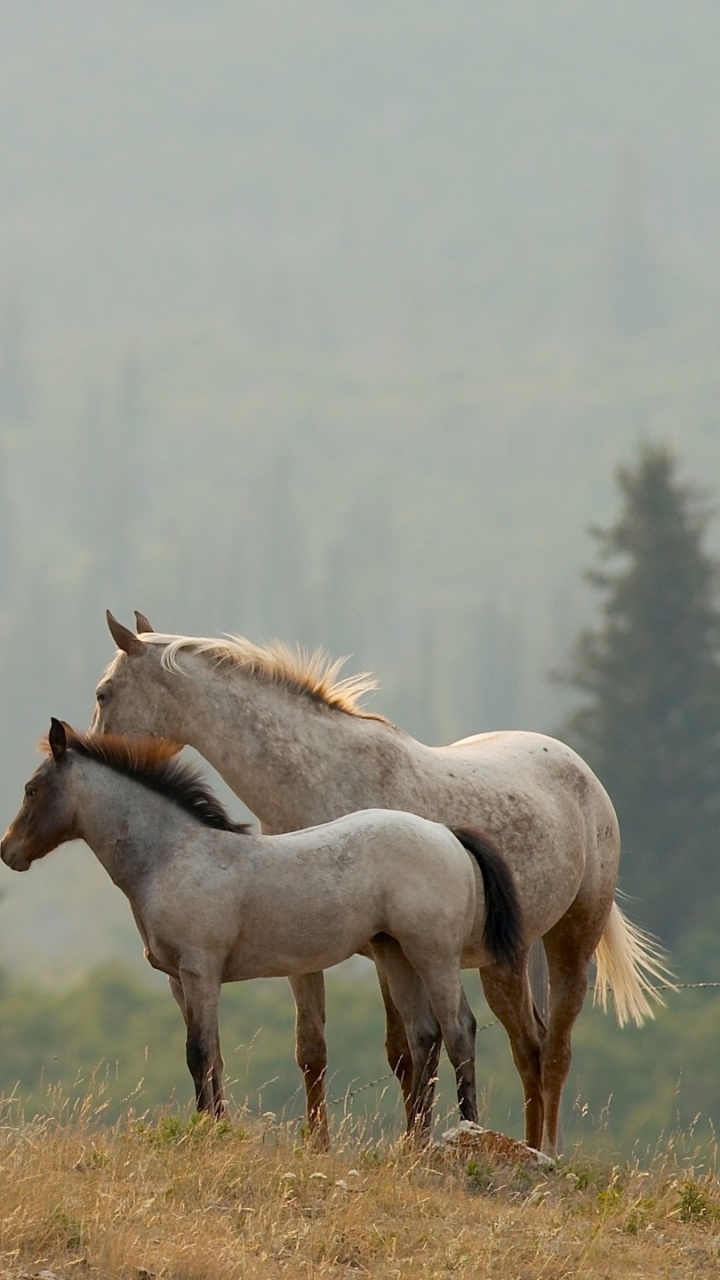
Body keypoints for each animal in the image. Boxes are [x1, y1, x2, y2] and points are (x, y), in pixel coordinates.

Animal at [1, 718, 524, 1138]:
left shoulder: (200, 970)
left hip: (434, 956)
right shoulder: (179, 981)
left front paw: (208, 1133)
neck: (173, 855)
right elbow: (212, 1055)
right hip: (394, 953)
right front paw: (217, 1127)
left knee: (459, 1031)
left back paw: (466, 1133)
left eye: (31, 789)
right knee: (423, 1037)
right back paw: (412, 1145)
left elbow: (197, 1053)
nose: (8, 852)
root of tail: (447, 833)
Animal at [90, 610, 671, 1158]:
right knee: (529, 1045)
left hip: (569, 941)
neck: (322, 776)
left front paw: (415, 1140)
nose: (88, 751)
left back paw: (543, 1152)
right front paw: (322, 1144)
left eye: (103, 693)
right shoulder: (311, 953)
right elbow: (317, 1049)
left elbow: (411, 1050)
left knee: (550, 1051)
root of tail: (581, 771)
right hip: (505, 959)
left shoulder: (387, 951)